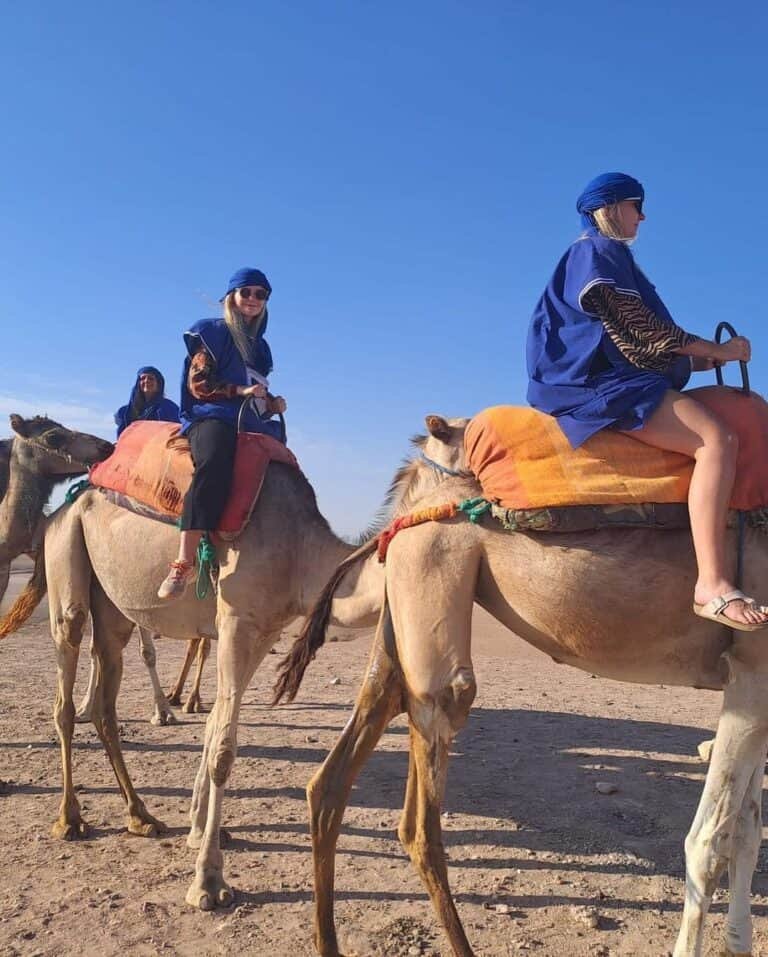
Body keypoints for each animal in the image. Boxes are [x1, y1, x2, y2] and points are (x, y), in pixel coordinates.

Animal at [0, 415, 468, 912]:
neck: (300, 552)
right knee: (65, 693)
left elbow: (212, 731)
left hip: (112, 607)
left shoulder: (264, 632)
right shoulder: (237, 619)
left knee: (107, 702)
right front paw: (207, 880)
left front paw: (200, 828)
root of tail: (60, 510)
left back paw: (141, 816)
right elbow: (224, 747)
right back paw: (70, 819)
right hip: (67, 561)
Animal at [274, 418, 768, 957]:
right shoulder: (751, 669)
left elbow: (747, 830)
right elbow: (711, 841)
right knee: (421, 805)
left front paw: (738, 942)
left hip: (401, 598)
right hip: (434, 561)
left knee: (345, 761)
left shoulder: (753, 687)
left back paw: (328, 940)